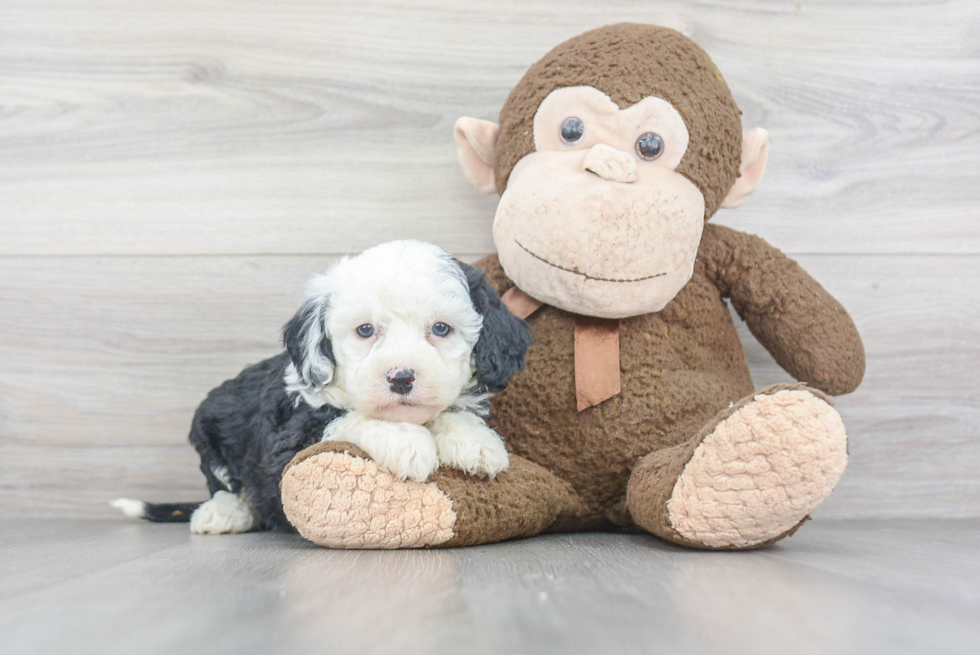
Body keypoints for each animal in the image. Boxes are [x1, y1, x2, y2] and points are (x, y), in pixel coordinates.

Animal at [113, 241, 536, 532]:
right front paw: (405, 441)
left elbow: (450, 413)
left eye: (442, 328)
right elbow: (347, 417)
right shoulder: (288, 442)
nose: (401, 377)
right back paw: (222, 514)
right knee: (225, 487)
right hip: (209, 429)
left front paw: (475, 442)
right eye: (365, 330)